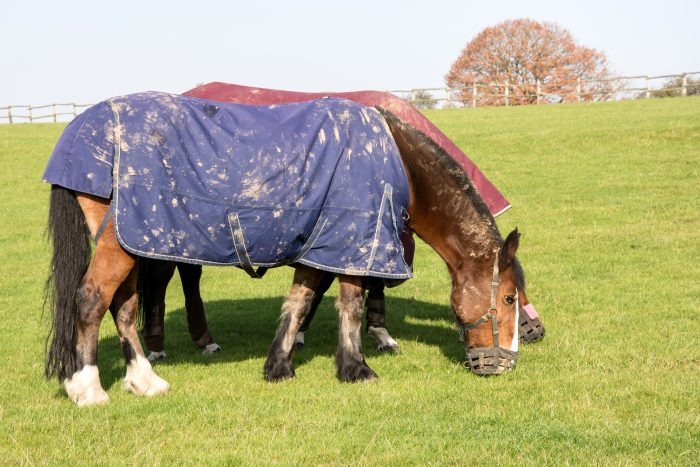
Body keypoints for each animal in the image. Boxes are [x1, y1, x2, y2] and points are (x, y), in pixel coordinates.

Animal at [44, 92, 525, 406]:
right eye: (508, 298)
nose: (506, 363)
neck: (396, 161)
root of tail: (79, 130)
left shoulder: (322, 244)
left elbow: (298, 301)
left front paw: (279, 365)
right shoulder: (351, 240)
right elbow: (350, 305)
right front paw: (355, 368)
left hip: (129, 241)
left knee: (123, 306)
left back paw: (145, 381)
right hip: (123, 241)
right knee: (91, 300)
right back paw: (87, 388)